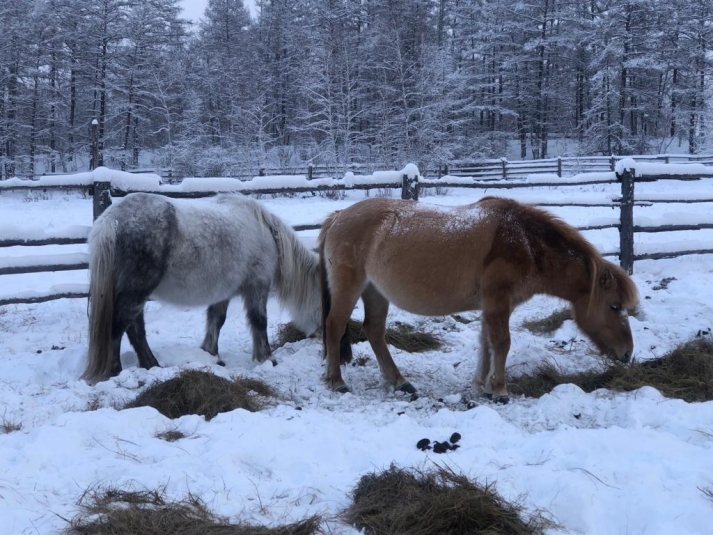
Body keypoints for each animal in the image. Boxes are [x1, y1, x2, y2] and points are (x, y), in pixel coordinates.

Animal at [81, 194, 322, 386]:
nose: (321, 334)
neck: (265, 231)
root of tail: (111, 219)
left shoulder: (223, 292)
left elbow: (216, 320)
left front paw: (212, 355)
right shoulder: (257, 285)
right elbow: (259, 321)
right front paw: (267, 358)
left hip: (135, 293)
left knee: (135, 329)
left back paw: (152, 365)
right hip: (136, 290)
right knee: (118, 327)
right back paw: (115, 371)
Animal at [318, 196, 640, 402]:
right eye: (614, 306)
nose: (627, 354)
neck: (525, 242)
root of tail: (339, 216)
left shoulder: (491, 306)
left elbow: (486, 343)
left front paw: (482, 385)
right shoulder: (498, 302)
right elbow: (501, 343)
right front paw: (499, 390)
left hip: (375, 292)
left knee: (374, 331)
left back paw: (400, 382)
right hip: (350, 288)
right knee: (334, 326)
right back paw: (337, 382)